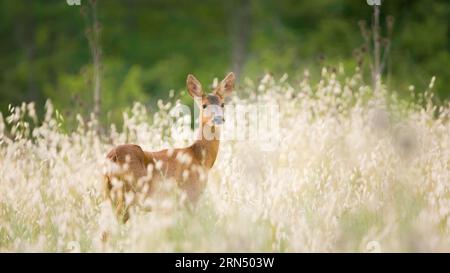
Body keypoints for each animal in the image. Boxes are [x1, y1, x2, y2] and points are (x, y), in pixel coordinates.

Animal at [102, 71, 236, 220]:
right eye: (204, 105)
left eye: (222, 104)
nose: (218, 118)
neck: (199, 158)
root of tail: (112, 157)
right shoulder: (190, 196)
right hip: (129, 195)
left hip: (109, 195)